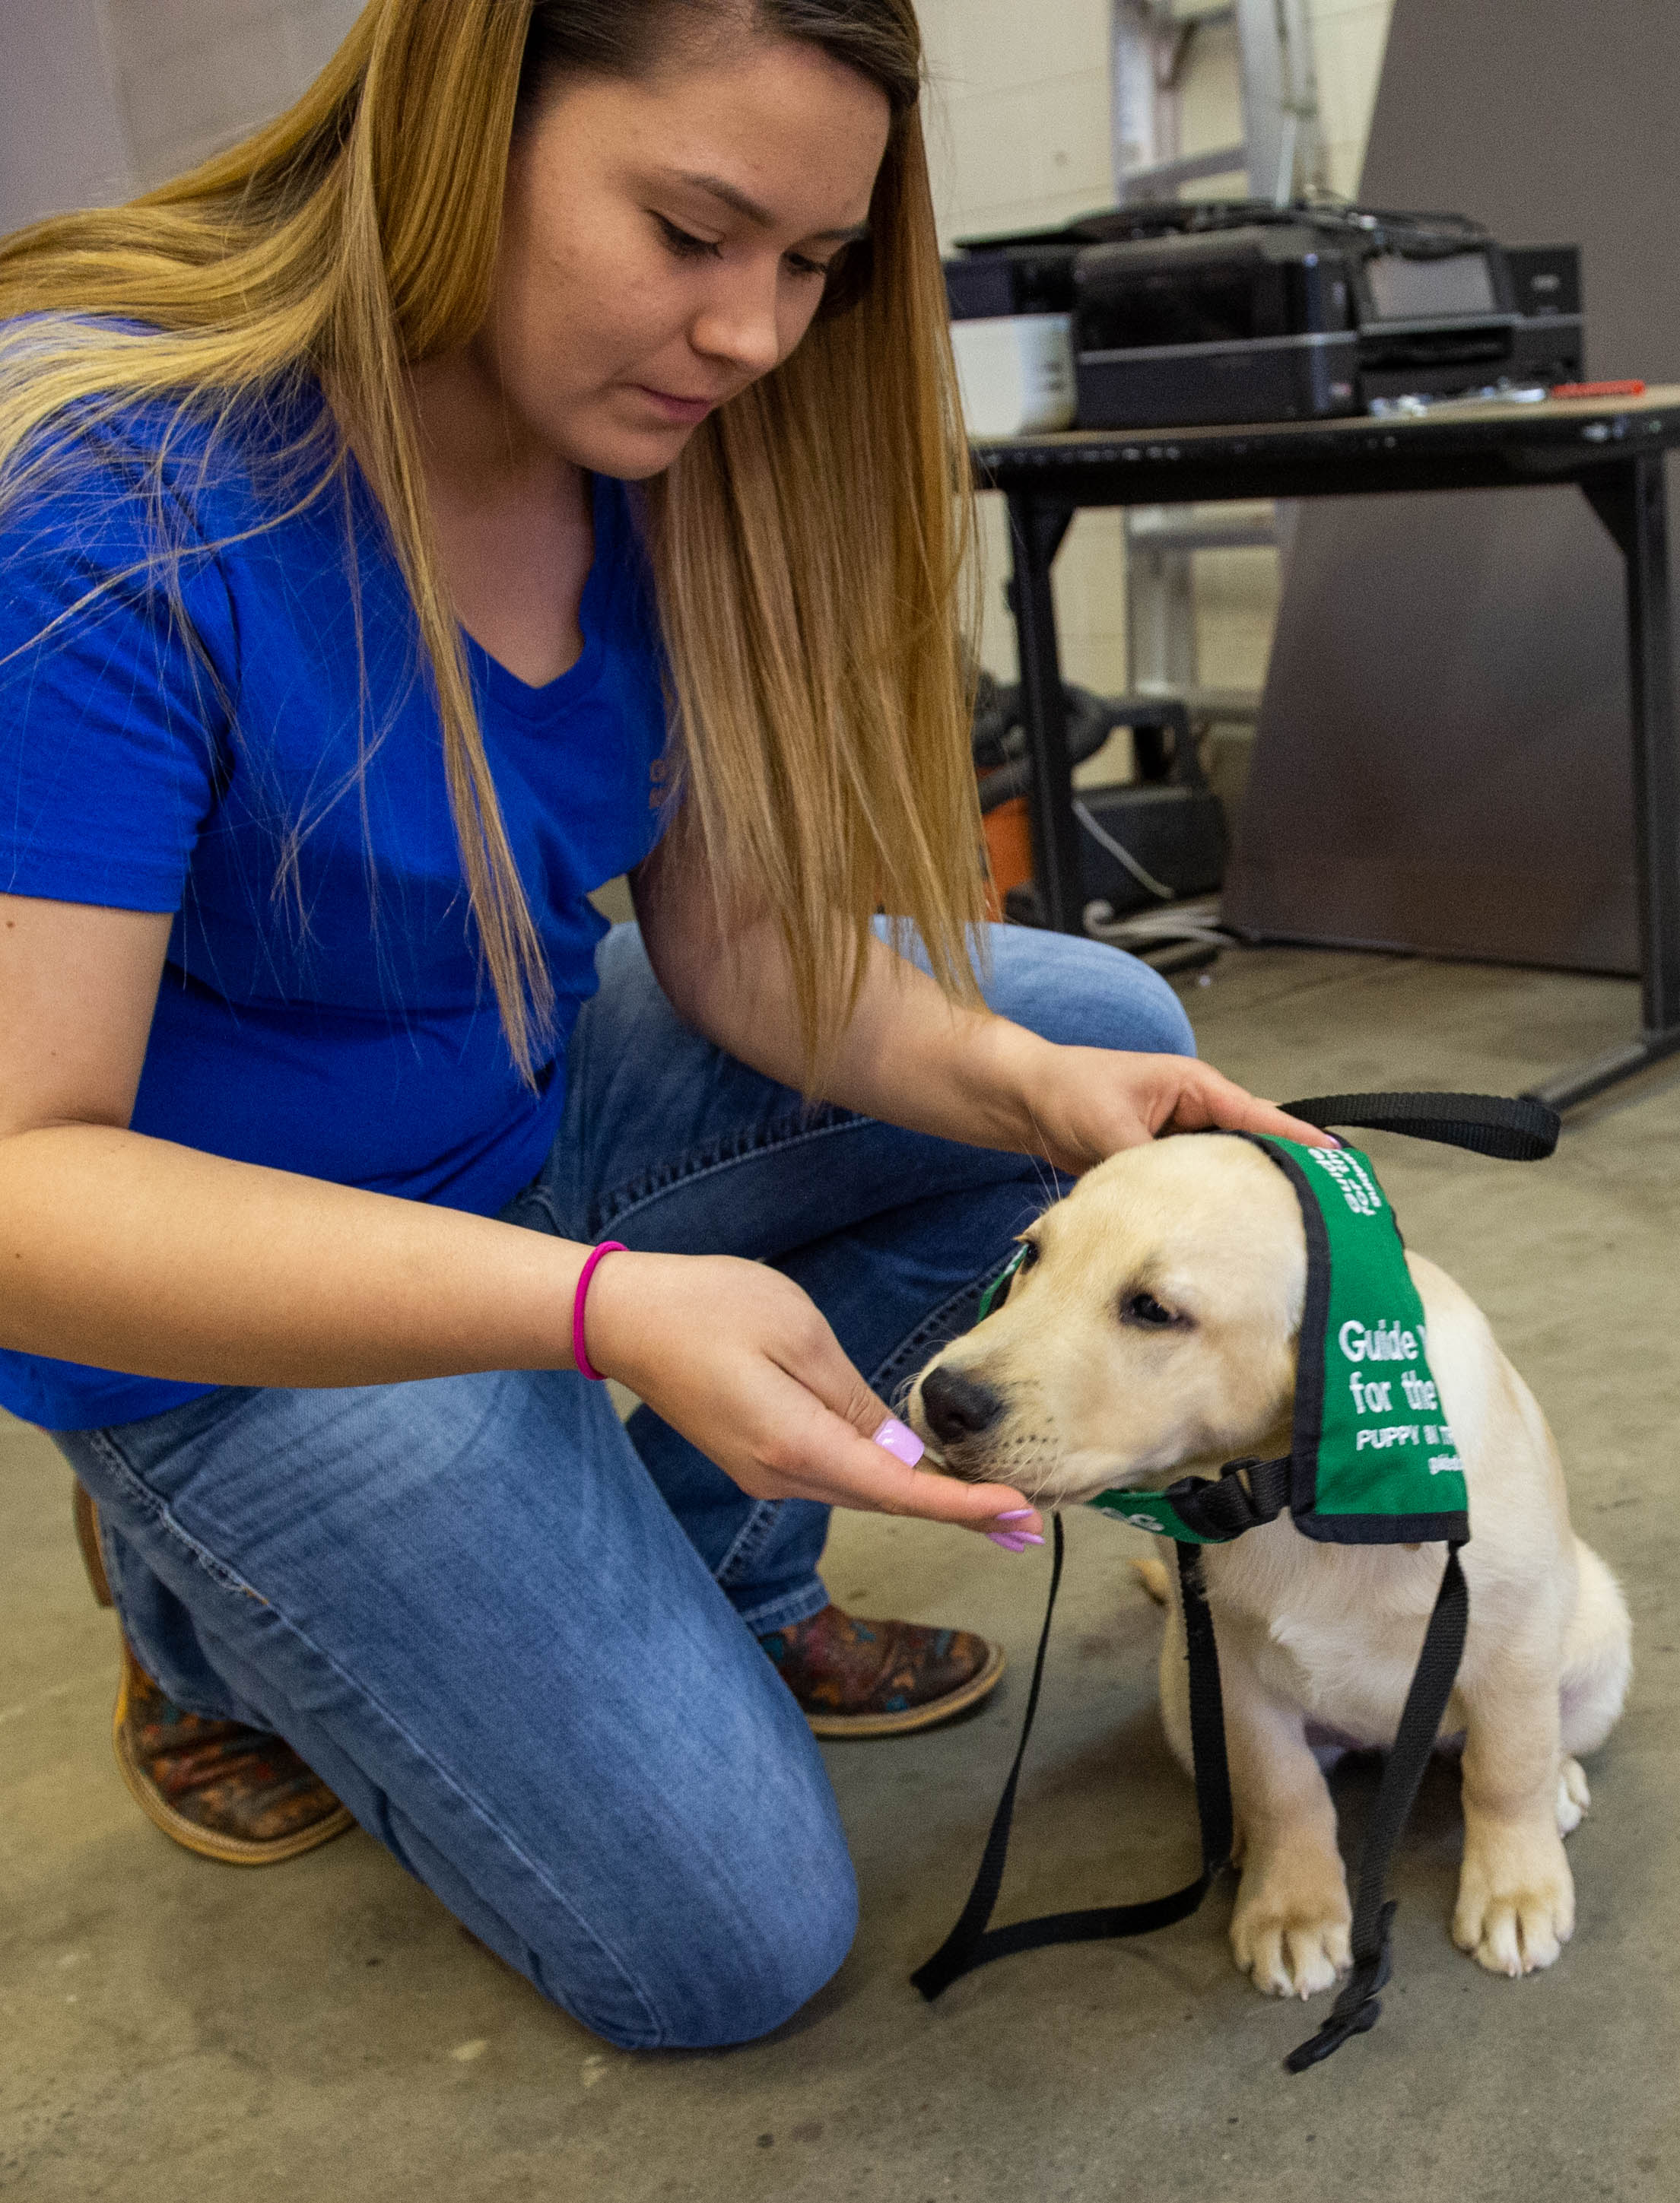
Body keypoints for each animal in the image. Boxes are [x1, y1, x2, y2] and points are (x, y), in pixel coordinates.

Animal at [907, 1128, 1629, 2009]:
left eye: (1153, 1310)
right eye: (1031, 1255)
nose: (944, 1397)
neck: (1279, 1483)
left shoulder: (1508, 1638)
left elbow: (1504, 1767)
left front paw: (1515, 1889)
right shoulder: (1233, 1669)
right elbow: (1285, 1793)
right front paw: (1290, 1909)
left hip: (1595, 1637)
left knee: (1536, 1739)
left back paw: (1558, 1783)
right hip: (1183, 1699)